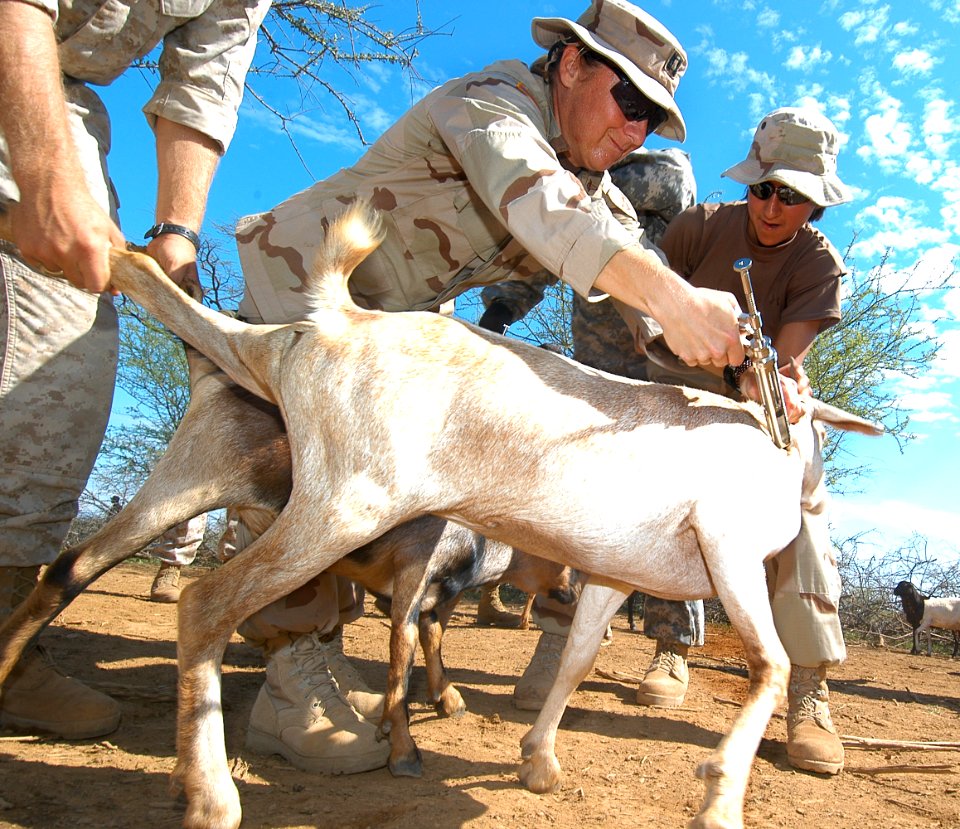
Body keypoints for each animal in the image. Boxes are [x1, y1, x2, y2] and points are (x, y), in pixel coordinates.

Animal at [18, 202, 880, 828]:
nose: (811, 494)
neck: (767, 439)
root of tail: (328, 326)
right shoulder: (729, 551)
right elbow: (768, 666)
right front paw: (720, 799)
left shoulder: (611, 574)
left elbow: (575, 659)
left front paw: (538, 762)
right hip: (342, 505)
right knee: (204, 603)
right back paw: (210, 796)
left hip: (229, 467)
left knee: (70, 561)